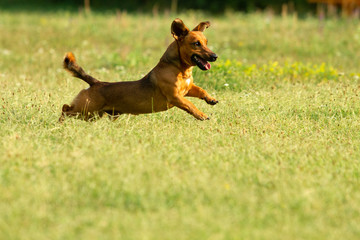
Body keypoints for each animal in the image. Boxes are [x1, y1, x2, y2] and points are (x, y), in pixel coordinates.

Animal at [59, 18, 218, 122]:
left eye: (206, 43)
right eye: (196, 44)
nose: (215, 56)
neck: (179, 69)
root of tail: (95, 83)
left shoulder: (188, 89)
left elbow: (201, 90)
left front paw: (210, 99)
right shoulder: (176, 97)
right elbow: (190, 105)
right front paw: (201, 115)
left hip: (93, 115)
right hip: (85, 110)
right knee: (65, 109)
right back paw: (60, 123)